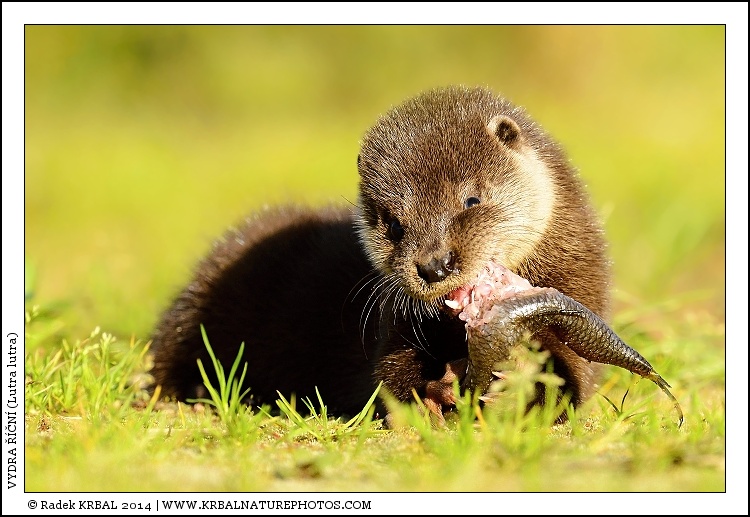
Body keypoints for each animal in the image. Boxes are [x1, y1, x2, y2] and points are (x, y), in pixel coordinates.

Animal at [149, 86, 610, 421]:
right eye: (392, 224)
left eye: (471, 200)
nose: (434, 264)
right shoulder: (395, 325)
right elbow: (387, 378)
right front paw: (435, 393)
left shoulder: (580, 299)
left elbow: (572, 382)